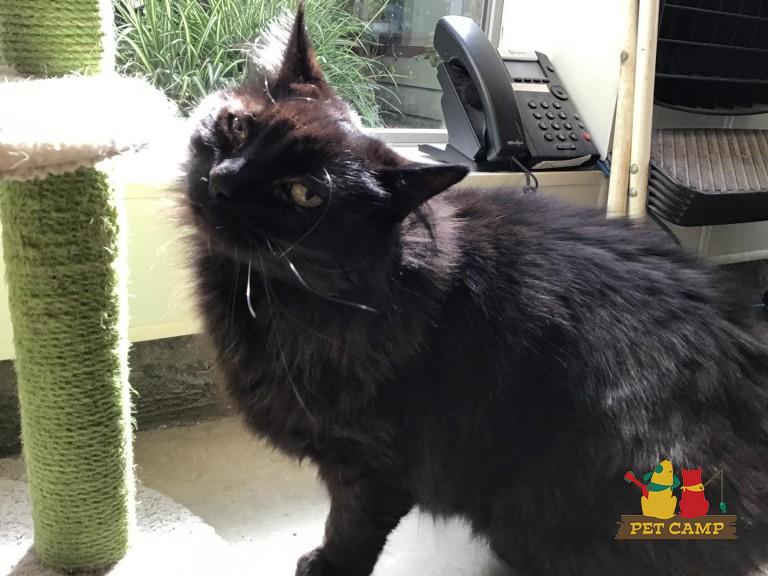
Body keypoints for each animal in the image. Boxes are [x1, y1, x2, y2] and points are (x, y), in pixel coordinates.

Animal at [180, 6, 768, 576]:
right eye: (238, 125)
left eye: (304, 194)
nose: (224, 181)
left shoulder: (375, 462)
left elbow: (351, 528)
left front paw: (326, 566)